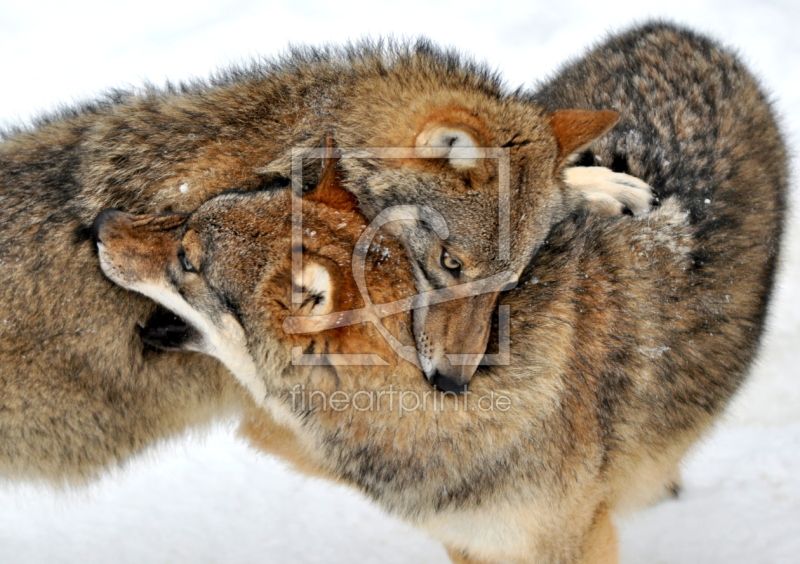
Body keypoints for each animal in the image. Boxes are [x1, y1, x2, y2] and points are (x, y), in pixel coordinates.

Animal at [95, 23, 788, 564]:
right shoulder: (468, 540)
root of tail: (681, 33)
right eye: (184, 234)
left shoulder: (569, 540)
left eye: (186, 260)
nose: (100, 224)